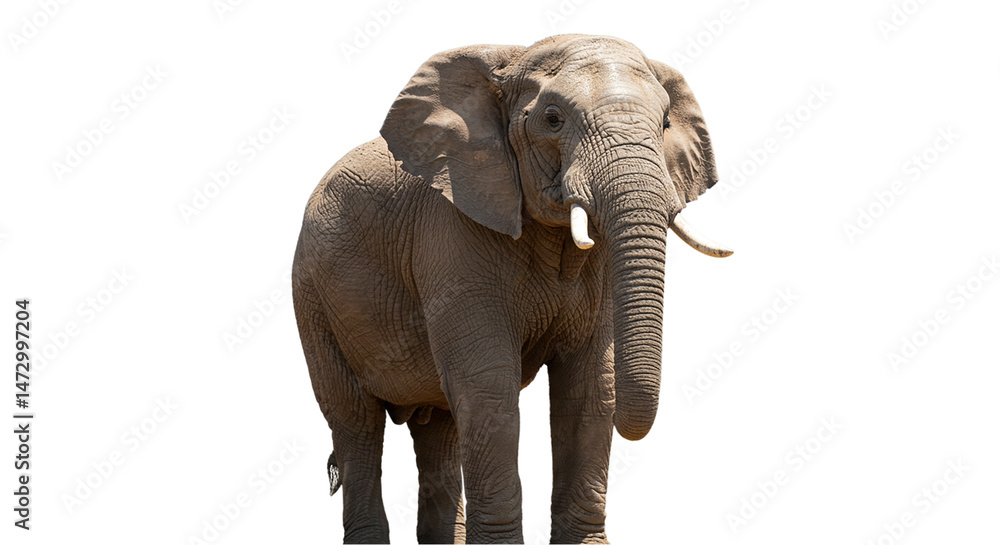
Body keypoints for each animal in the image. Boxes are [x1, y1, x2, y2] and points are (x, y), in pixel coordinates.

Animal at [292, 34, 731, 544]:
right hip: (313, 298)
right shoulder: (452, 230)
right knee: (356, 422)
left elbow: (589, 389)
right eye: (553, 119)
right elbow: (488, 385)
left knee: (439, 427)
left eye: (664, 123)